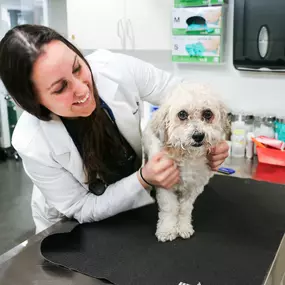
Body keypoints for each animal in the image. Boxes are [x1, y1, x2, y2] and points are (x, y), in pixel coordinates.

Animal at [143, 82, 227, 242]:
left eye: (207, 114)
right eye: (182, 114)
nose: (198, 136)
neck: (187, 156)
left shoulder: (194, 187)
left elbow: (184, 209)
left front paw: (183, 227)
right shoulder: (165, 183)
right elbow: (170, 208)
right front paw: (167, 230)